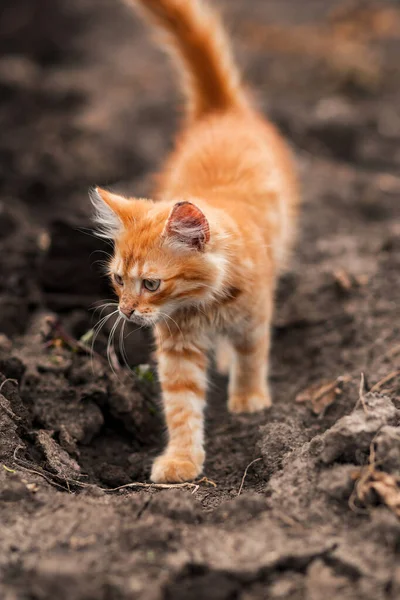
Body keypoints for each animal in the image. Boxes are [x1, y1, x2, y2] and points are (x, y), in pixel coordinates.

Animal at [90, 0, 296, 482]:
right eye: (118, 279)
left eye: (150, 284)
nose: (126, 311)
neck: (205, 303)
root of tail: (220, 112)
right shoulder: (178, 348)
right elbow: (181, 404)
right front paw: (182, 460)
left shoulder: (254, 314)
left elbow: (252, 353)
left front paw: (249, 399)